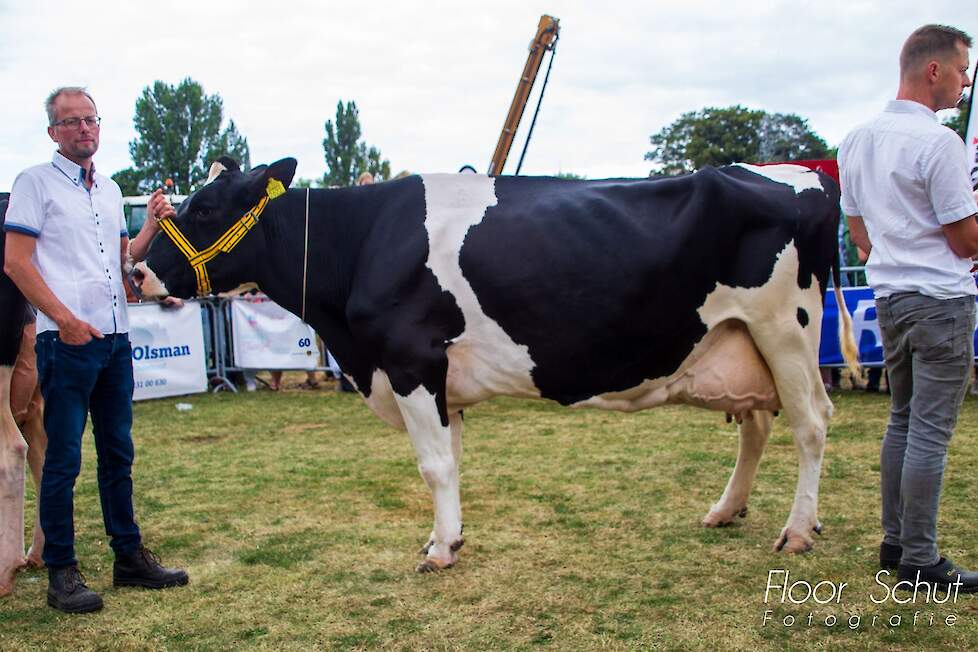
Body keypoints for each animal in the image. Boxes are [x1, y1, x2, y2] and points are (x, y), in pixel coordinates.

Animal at [135, 158, 856, 572]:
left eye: (204, 208)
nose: (139, 269)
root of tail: (805, 176)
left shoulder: (410, 359)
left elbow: (433, 465)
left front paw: (437, 553)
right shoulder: (439, 376)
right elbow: (451, 460)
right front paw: (449, 540)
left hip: (785, 329)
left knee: (812, 423)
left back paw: (797, 531)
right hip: (737, 341)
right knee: (758, 424)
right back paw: (726, 510)